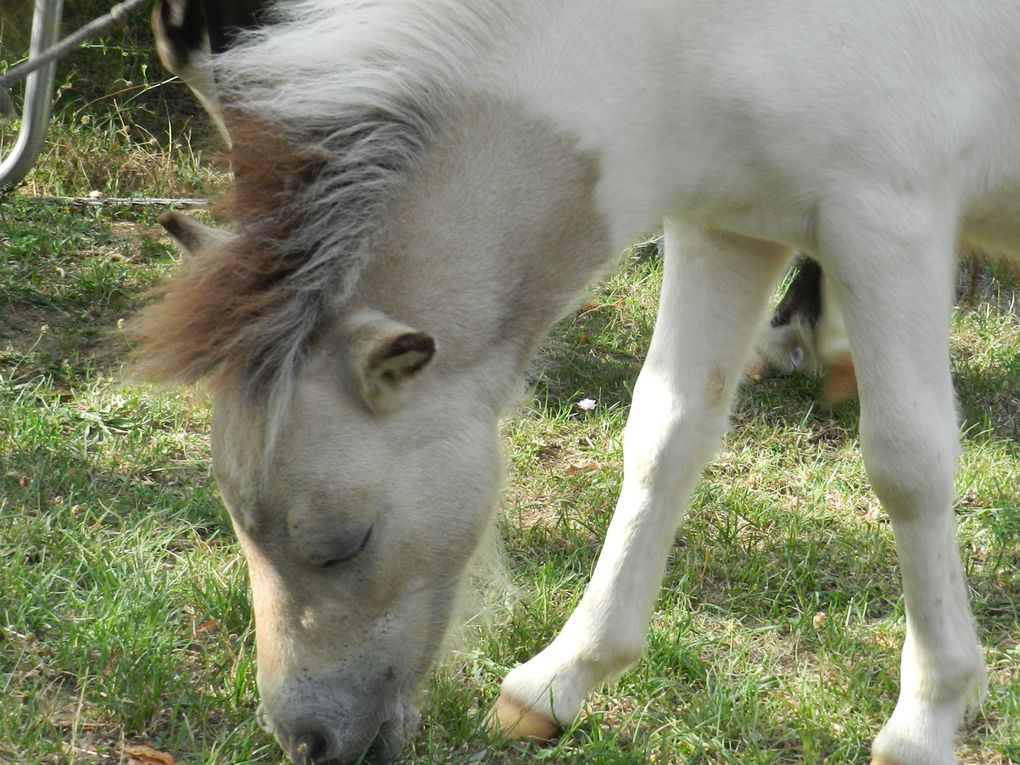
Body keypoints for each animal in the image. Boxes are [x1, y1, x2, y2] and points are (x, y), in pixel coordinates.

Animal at [131, 1, 1015, 765]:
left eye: (346, 541)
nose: (308, 739)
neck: (695, 35)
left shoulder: (888, 225)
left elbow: (907, 465)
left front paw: (926, 719)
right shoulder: (728, 225)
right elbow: (664, 437)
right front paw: (560, 680)